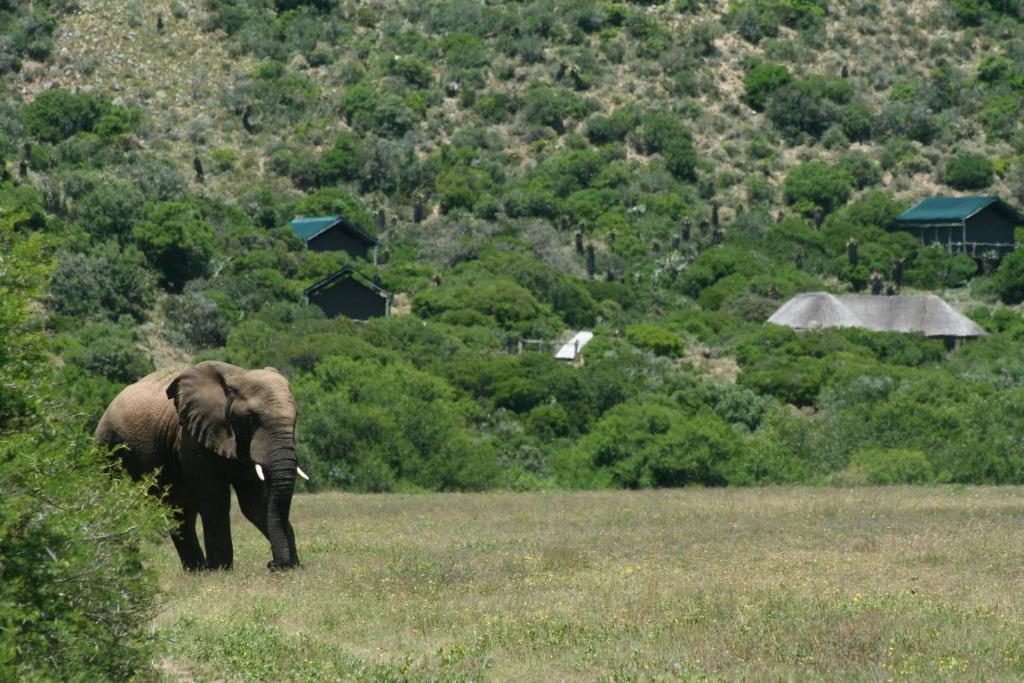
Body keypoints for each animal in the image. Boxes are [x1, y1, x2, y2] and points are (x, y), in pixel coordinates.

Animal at [95, 362, 303, 573]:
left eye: (296, 416)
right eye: (251, 418)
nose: (273, 565)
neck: (236, 377)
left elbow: (255, 503)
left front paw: (291, 567)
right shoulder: (192, 438)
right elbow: (215, 500)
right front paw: (220, 571)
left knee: (180, 514)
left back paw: (196, 571)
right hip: (109, 450)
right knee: (122, 506)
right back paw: (131, 571)